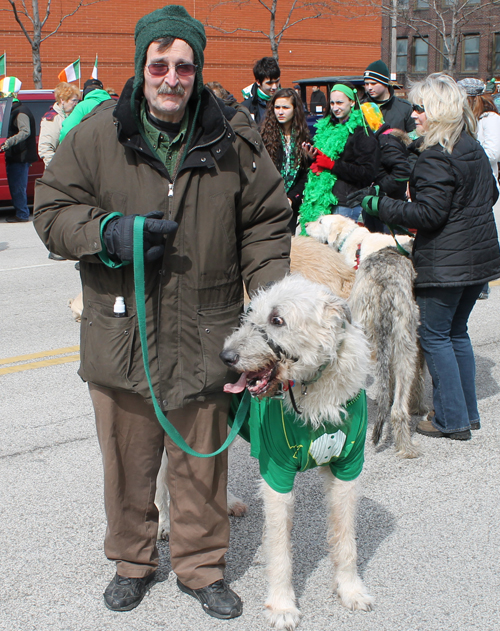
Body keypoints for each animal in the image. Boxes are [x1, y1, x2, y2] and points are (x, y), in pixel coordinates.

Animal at [221, 276, 374, 631]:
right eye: (250, 315)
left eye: (277, 320)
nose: (226, 356)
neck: (313, 388)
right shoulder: (276, 473)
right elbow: (279, 550)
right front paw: (281, 606)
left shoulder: (348, 467)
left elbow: (346, 538)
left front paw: (350, 589)